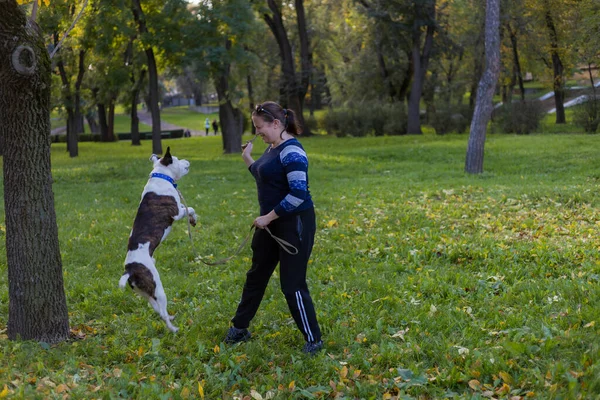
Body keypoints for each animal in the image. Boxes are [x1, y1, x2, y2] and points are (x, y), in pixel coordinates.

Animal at [119, 147, 197, 332]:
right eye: (176, 159)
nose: (188, 161)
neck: (161, 176)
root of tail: (130, 271)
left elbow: (189, 208)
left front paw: (193, 220)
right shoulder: (176, 212)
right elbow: (189, 208)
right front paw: (193, 218)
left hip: (145, 292)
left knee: (156, 309)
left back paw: (170, 318)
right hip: (158, 288)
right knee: (161, 311)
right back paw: (174, 329)